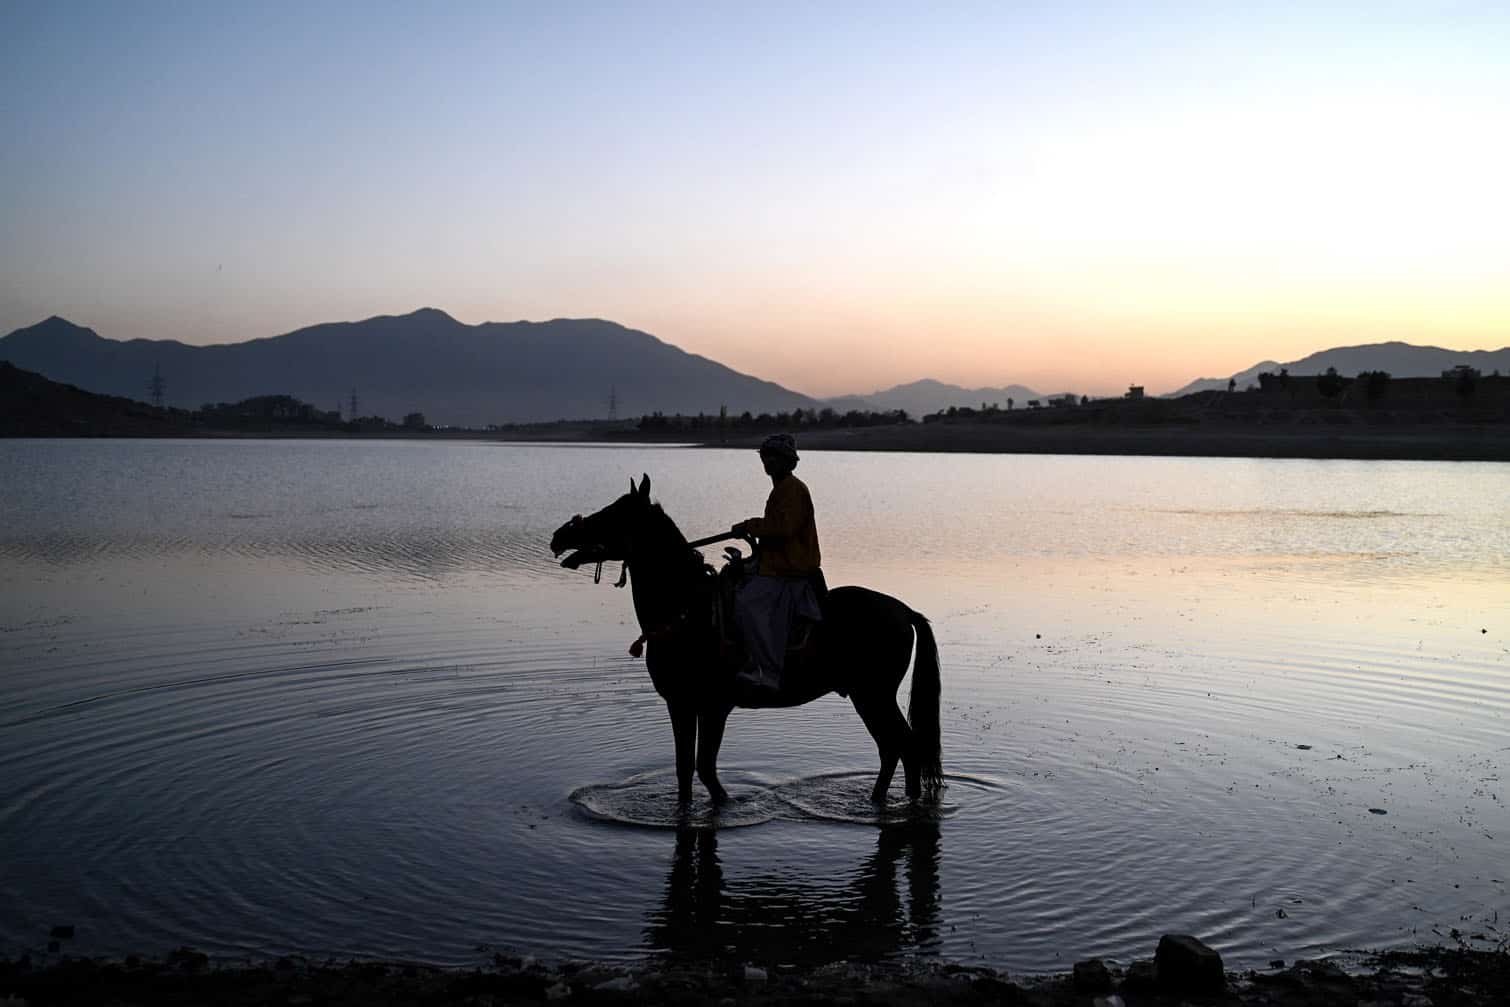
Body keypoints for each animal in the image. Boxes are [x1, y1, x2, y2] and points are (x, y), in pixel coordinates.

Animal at [549, 474, 941, 806]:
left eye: (613, 513)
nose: (559, 536)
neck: (687, 608)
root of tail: (905, 611)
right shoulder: (681, 703)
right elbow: (685, 770)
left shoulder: (711, 705)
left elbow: (704, 768)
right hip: (869, 696)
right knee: (895, 748)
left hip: (873, 694)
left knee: (904, 746)